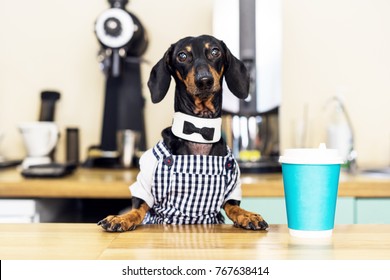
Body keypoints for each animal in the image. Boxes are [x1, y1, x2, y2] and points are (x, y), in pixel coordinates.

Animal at [97, 34, 268, 232]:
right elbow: (138, 207)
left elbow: (233, 206)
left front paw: (248, 215)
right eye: (182, 56)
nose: (204, 80)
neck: (199, 132)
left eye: (215, 52)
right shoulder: (145, 182)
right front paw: (122, 218)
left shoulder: (233, 185)